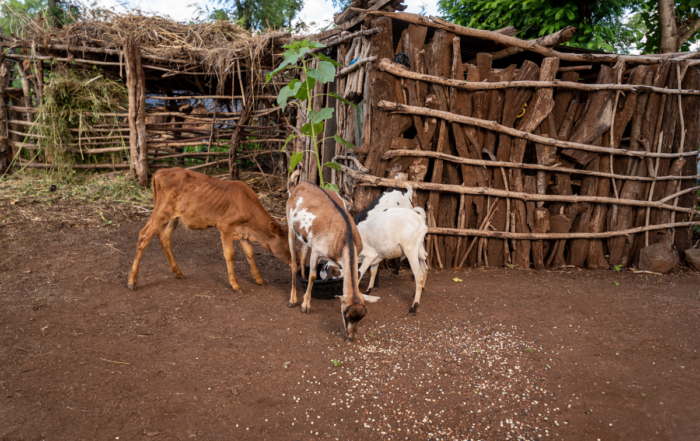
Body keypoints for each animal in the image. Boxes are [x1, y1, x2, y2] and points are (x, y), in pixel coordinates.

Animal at [126, 168, 290, 292]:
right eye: (288, 245)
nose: (292, 263)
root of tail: (160, 171)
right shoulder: (225, 225)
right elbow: (230, 254)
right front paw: (235, 285)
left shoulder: (243, 232)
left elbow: (250, 254)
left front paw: (259, 280)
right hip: (162, 211)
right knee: (144, 236)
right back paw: (132, 281)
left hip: (172, 216)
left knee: (164, 236)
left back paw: (178, 272)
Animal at [284, 171, 378, 340]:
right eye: (346, 315)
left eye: (361, 317)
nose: (351, 337)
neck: (345, 237)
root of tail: (298, 185)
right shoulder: (317, 251)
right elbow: (313, 276)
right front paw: (305, 305)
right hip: (290, 225)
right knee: (294, 262)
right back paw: (292, 300)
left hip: (306, 236)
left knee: (302, 254)